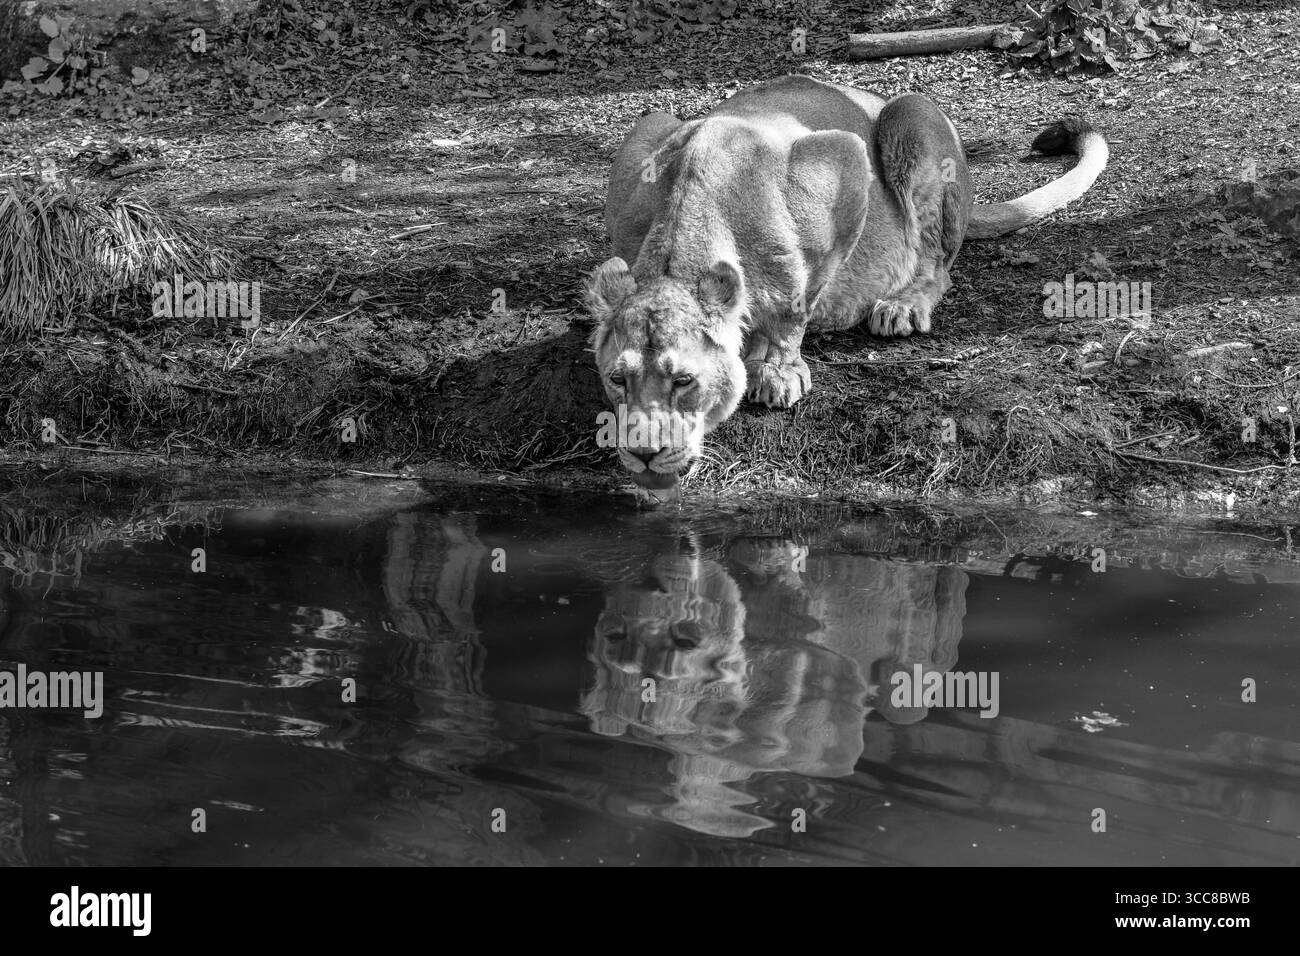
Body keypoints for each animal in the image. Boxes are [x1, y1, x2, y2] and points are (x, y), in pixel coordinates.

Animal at [586, 73, 1108, 489]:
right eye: (617, 379)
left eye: (684, 381)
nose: (644, 454)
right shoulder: (640, 145)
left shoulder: (842, 160)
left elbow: (795, 304)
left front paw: (777, 368)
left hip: (910, 116)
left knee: (938, 264)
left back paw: (901, 306)